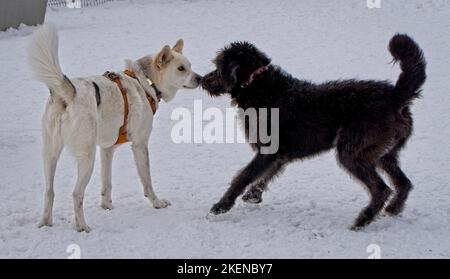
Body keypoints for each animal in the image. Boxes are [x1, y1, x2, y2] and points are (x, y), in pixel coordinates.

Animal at [27, 25, 200, 233]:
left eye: (190, 66)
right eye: (181, 69)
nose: (200, 78)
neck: (145, 81)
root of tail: (68, 93)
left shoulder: (107, 149)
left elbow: (106, 183)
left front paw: (107, 206)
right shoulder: (140, 144)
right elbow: (147, 181)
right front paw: (156, 203)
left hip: (51, 154)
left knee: (49, 191)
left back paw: (45, 223)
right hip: (87, 158)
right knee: (76, 194)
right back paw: (82, 226)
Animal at [202, 34, 428, 230]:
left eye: (218, 67)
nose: (203, 79)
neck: (259, 85)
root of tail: (395, 96)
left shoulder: (268, 151)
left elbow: (243, 176)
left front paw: (222, 205)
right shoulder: (278, 155)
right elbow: (265, 176)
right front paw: (253, 195)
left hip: (353, 152)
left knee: (381, 189)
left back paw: (362, 221)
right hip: (384, 153)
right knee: (404, 183)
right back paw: (393, 209)